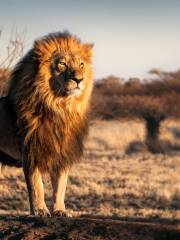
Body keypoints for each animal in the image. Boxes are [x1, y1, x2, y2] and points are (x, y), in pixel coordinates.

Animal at [0, 31, 93, 217]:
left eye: (81, 64)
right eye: (62, 64)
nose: (79, 79)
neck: (60, 107)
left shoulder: (63, 153)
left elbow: (60, 186)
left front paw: (60, 210)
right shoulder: (30, 151)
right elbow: (37, 186)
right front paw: (40, 210)